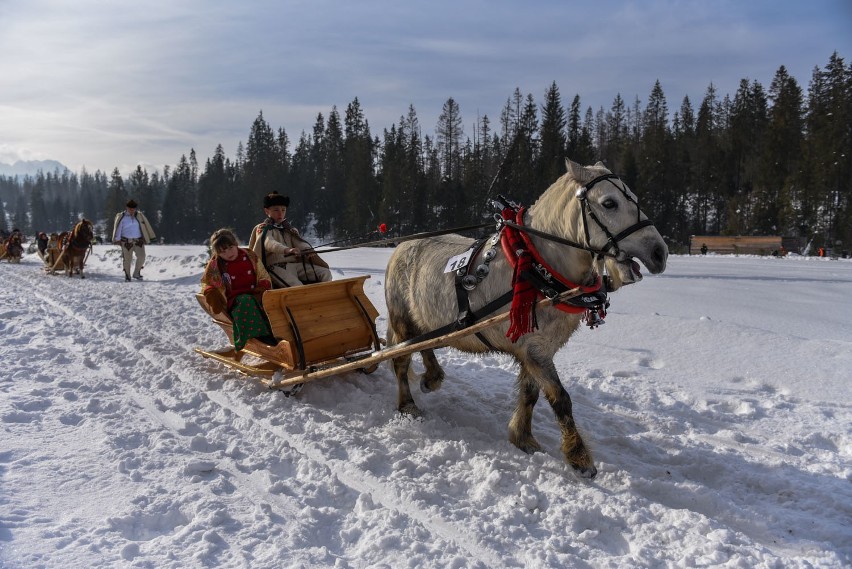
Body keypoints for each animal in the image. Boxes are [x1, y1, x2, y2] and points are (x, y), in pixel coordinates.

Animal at [382, 158, 668, 478]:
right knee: (401, 359)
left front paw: (523, 437)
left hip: (430, 323)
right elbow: (560, 398)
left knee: (424, 346)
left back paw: (432, 378)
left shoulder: (536, 349)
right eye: (609, 203)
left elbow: (531, 394)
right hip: (402, 319)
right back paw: (407, 405)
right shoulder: (535, 350)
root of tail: (401, 247)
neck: (538, 266)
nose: (660, 252)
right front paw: (579, 457)